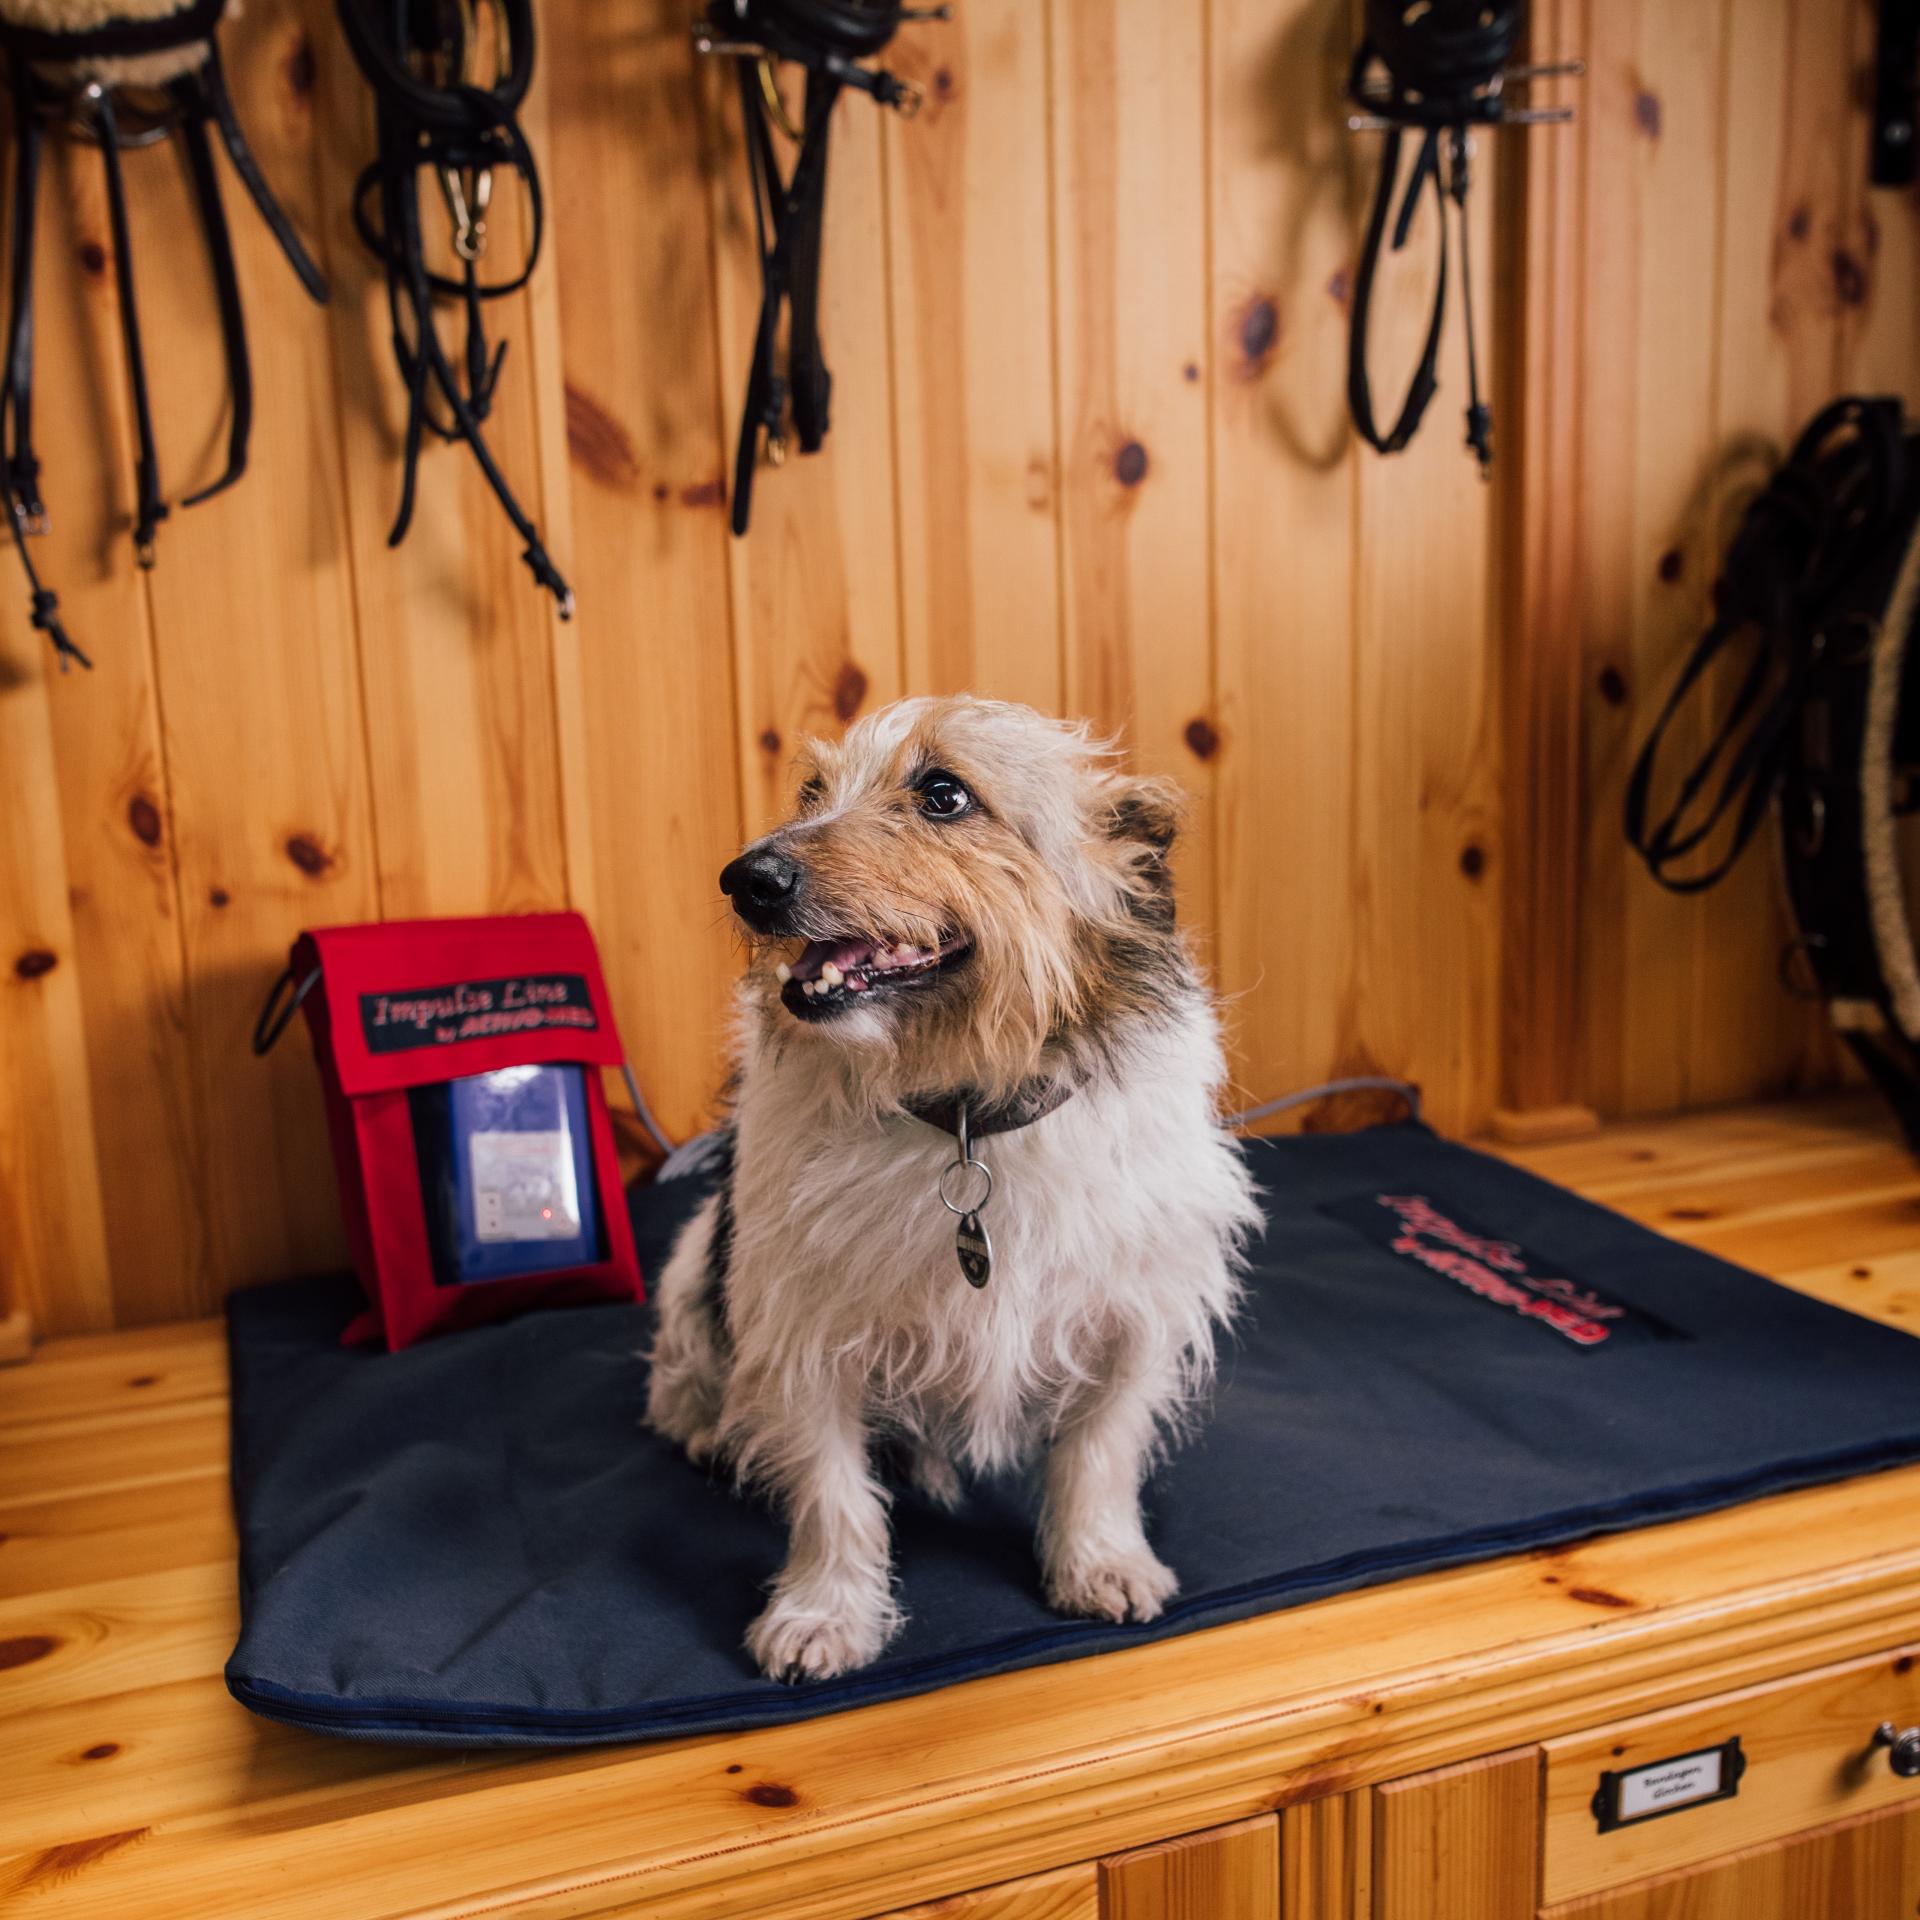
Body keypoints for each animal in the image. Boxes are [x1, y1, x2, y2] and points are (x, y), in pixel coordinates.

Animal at [645, 702, 1259, 1681]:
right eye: (811, 790)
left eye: (943, 794)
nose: (747, 879)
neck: (964, 1109)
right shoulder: (801, 1333)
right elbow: (832, 1493)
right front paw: (825, 1612)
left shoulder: (1132, 1318)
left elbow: (1100, 1452)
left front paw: (1100, 1561)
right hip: (695, 1263)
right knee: (682, 1371)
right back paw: (710, 1424)